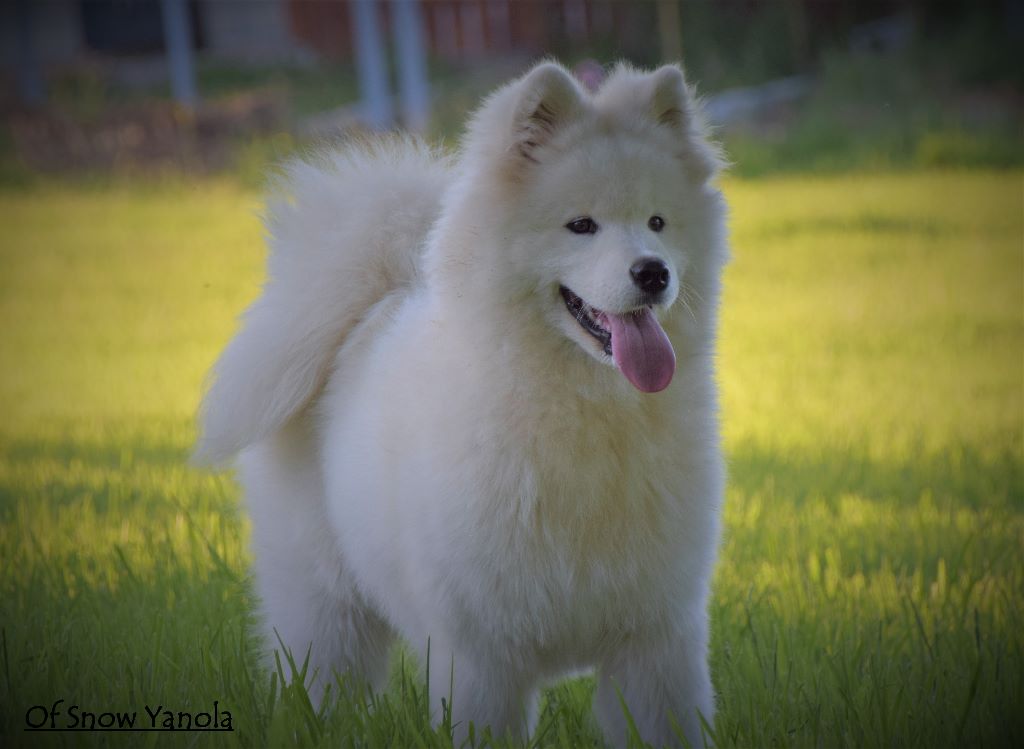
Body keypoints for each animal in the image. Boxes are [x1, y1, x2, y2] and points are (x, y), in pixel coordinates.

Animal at [197, 61, 729, 745]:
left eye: (658, 223)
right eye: (581, 225)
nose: (653, 272)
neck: (580, 411)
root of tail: (375, 301)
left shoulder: (657, 641)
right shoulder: (481, 655)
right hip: (323, 606)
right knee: (320, 680)